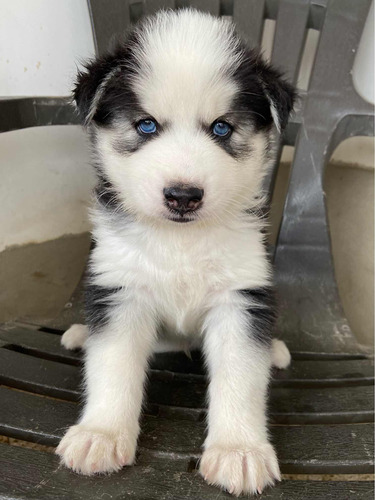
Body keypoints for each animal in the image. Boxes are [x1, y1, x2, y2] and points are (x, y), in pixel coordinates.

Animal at [57, 9, 296, 498]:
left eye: (222, 127)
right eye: (146, 125)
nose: (183, 196)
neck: (181, 242)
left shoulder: (240, 297)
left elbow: (241, 376)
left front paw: (239, 450)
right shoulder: (121, 289)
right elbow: (112, 364)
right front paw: (101, 434)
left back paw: (277, 349)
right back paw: (80, 334)